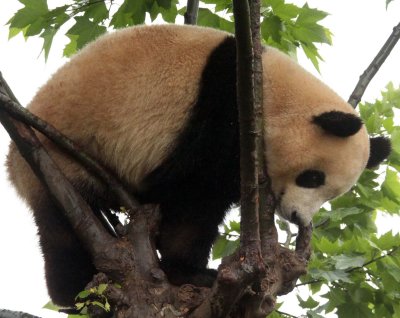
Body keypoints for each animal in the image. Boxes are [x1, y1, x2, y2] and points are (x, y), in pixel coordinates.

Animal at [6, 23, 390, 306]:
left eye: (330, 194)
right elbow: (196, 190)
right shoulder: (219, 106)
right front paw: (191, 272)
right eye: (312, 177)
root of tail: (13, 166)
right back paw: (73, 289)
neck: (273, 94)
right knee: (64, 222)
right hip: (59, 156)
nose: (297, 218)